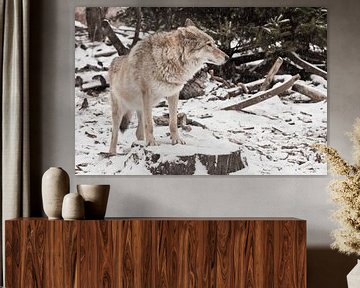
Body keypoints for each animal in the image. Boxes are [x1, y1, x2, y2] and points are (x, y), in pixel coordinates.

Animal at [108, 18, 229, 154]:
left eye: (213, 43)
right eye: (208, 44)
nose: (227, 57)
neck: (169, 59)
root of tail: (113, 61)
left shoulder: (173, 94)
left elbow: (173, 123)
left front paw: (177, 140)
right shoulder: (147, 94)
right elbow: (150, 125)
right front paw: (151, 143)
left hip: (142, 108)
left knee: (138, 132)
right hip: (121, 111)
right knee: (114, 134)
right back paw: (112, 153)